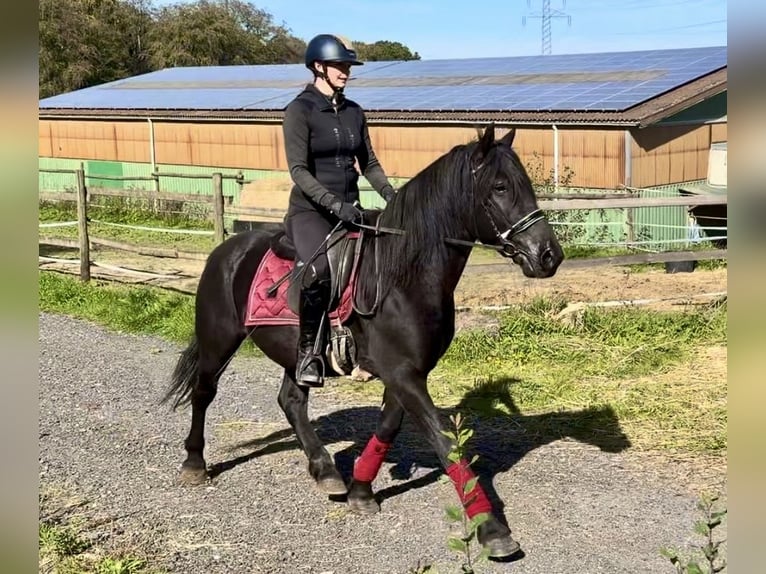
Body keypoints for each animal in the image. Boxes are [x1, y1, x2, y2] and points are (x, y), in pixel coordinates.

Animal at [162, 124, 564, 559]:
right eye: (501, 187)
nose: (549, 255)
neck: (402, 278)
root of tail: (227, 249)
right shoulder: (404, 374)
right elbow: (444, 440)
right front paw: (491, 528)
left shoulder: (405, 372)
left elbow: (388, 427)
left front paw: (360, 490)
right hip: (218, 339)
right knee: (203, 392)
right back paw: (194, 465)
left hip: (297, 353)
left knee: (291, 400)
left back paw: (325, 470)